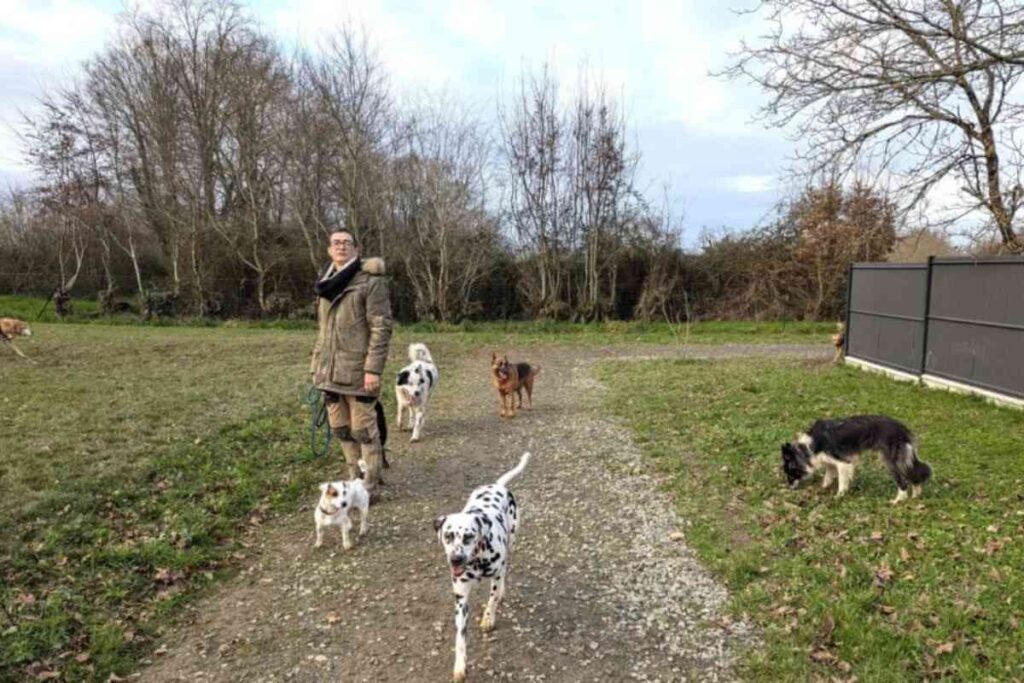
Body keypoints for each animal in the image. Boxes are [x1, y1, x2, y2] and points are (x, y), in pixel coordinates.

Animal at [432, 450, 532, 679]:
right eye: (448, 536)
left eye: (468, 536)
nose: (456, 559)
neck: (476, 560)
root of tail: (498, 485)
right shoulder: (461, 598)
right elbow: (460, 637)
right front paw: (460, 666)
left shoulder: (495, 573)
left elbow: (492, 598)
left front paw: (488, 618)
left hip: (511, 542)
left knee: (505, 571)